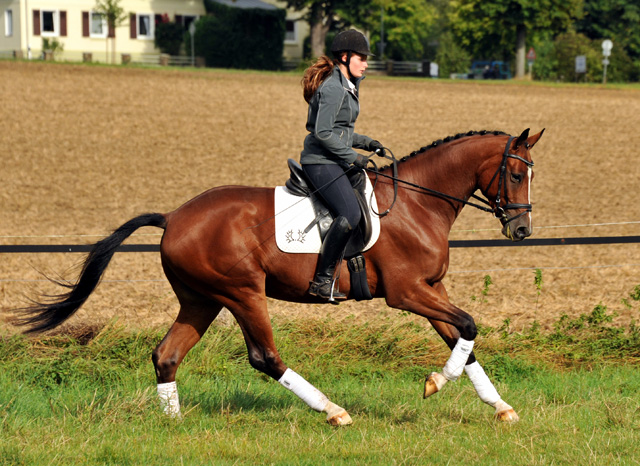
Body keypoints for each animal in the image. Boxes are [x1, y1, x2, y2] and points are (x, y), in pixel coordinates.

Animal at [15, 127, 544, 426]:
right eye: (517, 175)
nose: (521, 230)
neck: (418, 201)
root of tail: (174, 217)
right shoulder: (407, 292)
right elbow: (468, 326)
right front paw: (436, 382)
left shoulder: (432, 288)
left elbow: (462, 338)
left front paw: (499, 407)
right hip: (242, 293)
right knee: (264, 357)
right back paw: (334, 412)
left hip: (201, 300)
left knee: (166, 355)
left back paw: (174, 425)